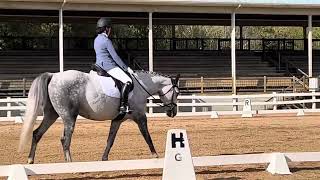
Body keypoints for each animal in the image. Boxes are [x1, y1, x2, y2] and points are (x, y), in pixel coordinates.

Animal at [18, 70, 180, 163]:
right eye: (177, 92)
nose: (172, 113)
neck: (141, 87)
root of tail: (54, 76)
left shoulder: (117, 120)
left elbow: (110, 140)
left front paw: (104, 158)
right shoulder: (140, 117)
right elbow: (147, 136)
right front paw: (155, 155)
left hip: (52, 114)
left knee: (37, 133)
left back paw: (30, 160)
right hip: (69, 117)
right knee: (65, 140)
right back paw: (69, 163)